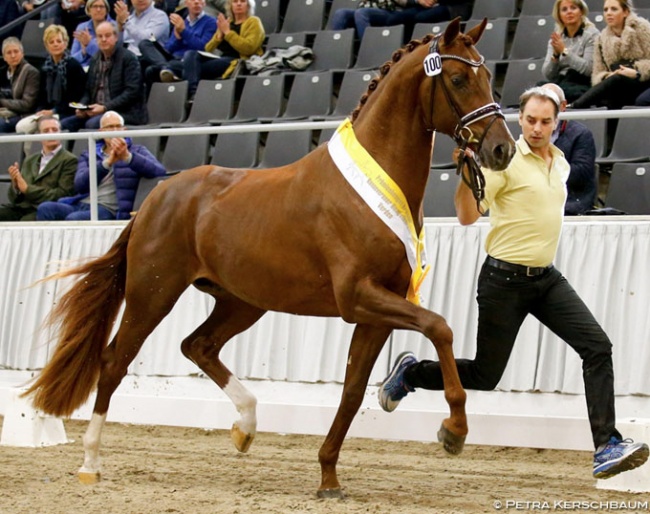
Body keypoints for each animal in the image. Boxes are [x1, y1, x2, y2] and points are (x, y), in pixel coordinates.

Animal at [22, 19, 512, 496]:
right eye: (458, 79)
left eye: (488, 77)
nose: (501, 149)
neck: (368, 188)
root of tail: (156, 198)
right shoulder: (358, 297)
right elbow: (439, 327)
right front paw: (454, 431)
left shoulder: (376, 311)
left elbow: (353, 390)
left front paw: (328, 477)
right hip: (153, 294)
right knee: (114, 362)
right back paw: (90, 463)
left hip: (241, 301)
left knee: (197, 345)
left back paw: (246, 427)